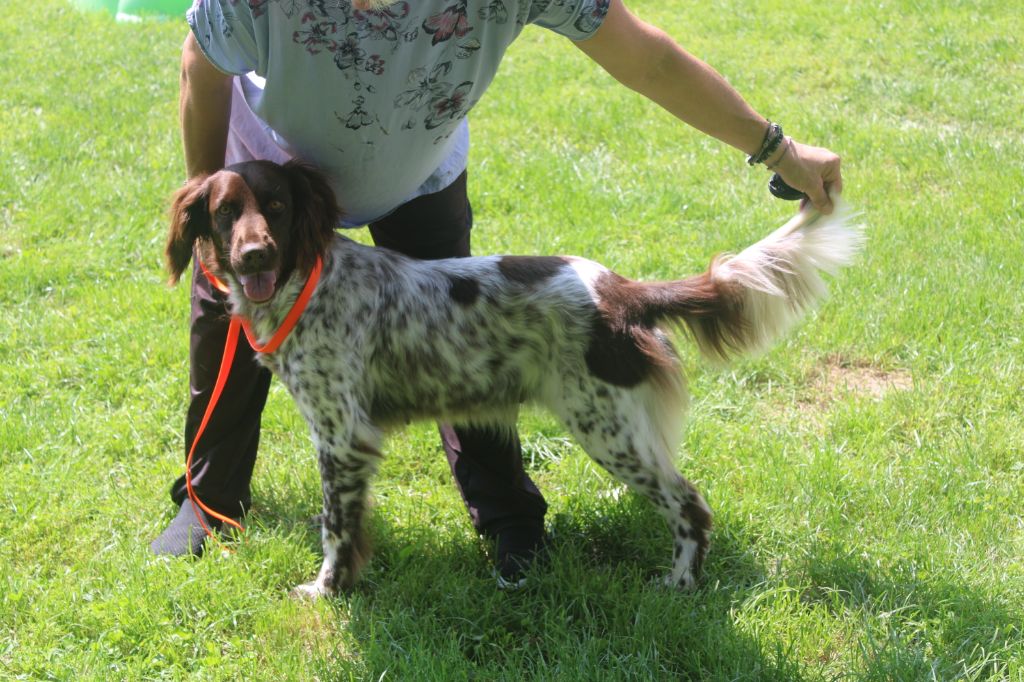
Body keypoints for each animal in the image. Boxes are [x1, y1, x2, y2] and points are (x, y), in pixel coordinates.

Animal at [163, 159, 860, 593]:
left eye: (277, 206)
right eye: (225, 212)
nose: (255, 255)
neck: (307, 282)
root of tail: (623, 293)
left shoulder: (342, 437)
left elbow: (339, 530)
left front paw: (328, 591)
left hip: (608, 430)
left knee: (690, 504)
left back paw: (680, 584)